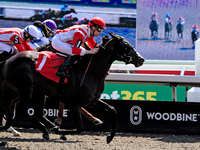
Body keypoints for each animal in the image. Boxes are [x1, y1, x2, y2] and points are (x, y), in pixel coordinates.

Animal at [0, 32, 144, 143]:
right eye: (125, 45)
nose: (141, 59)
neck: (90, 70)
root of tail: (8, 62)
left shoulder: (92, 101)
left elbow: (113, 109)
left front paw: (110, 136)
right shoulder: (73, 103)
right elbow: (80, 128)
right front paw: (59, 129)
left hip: (37, 92)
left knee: (37, 113)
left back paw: (48, 131)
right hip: (25, 89)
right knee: (22, 110)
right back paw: (51, 130)